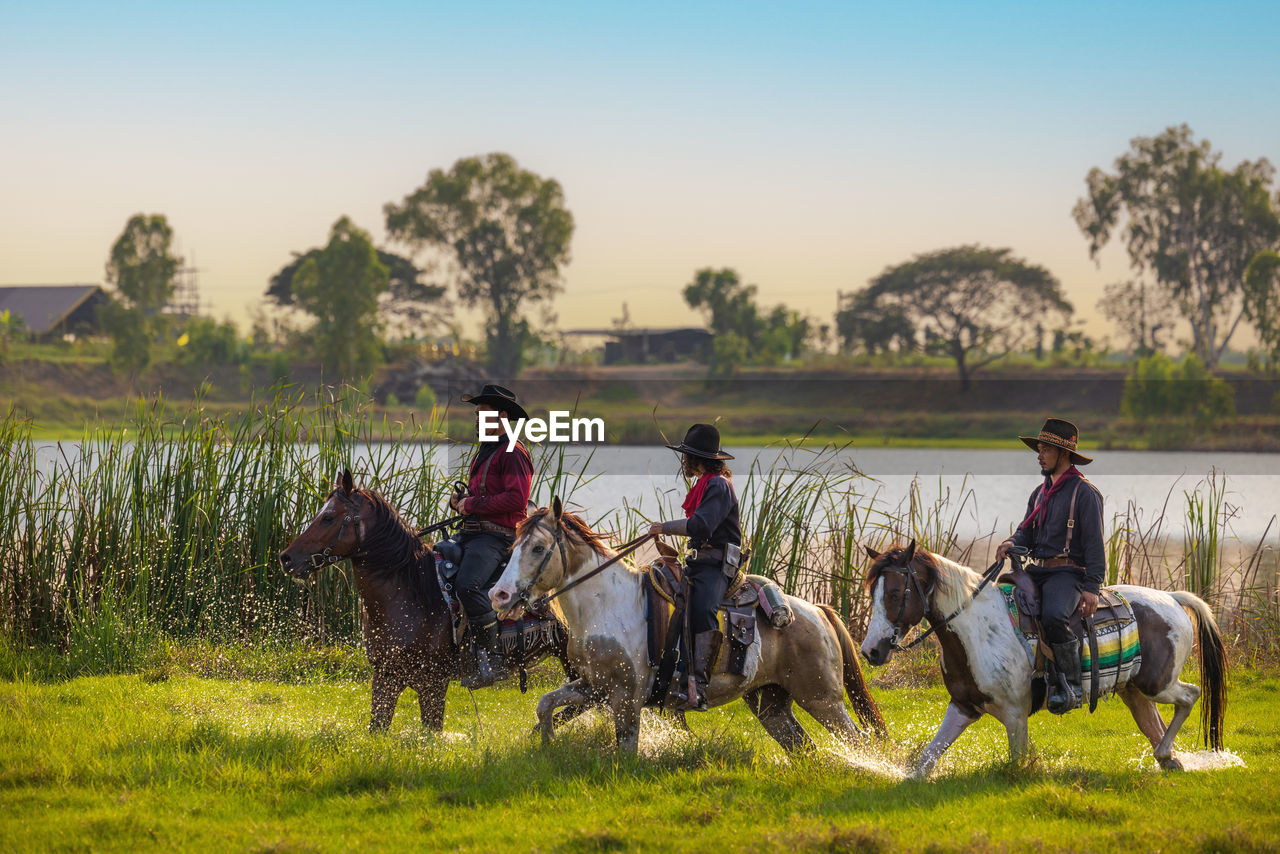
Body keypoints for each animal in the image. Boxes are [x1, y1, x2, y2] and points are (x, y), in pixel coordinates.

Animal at [280, 471, 581, 732]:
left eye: (328, 517)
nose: (287, 558)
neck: (409, 593)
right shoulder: (386, 678)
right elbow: (377, 729)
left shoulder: (432, 683)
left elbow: (430, 734)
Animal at [483, 501, 885, 752]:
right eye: (514, 545)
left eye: (538, 548)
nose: (498, 595)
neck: (606, 605)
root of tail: (818, 612)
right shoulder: (594, 686)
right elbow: (546, 704)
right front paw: (547, 741)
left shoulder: (627, 696)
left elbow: (625, 748)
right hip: (770, 702)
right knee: (803, 747)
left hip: (822, 699)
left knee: (859, 739)